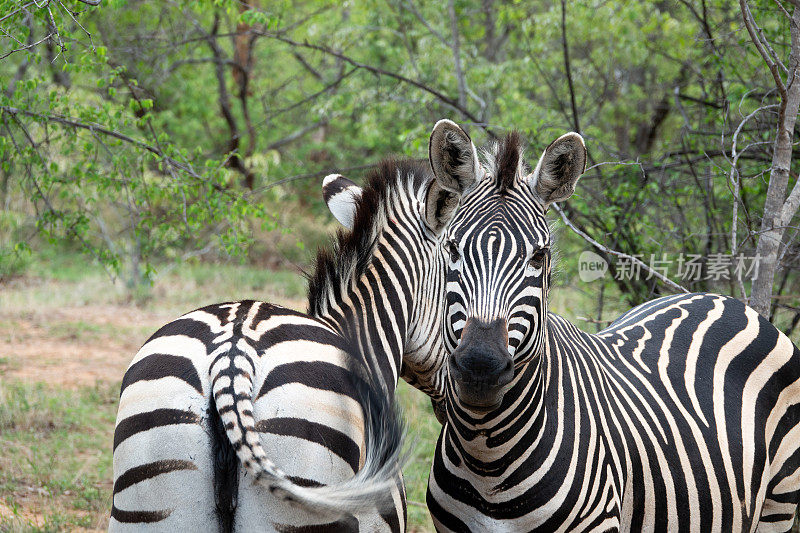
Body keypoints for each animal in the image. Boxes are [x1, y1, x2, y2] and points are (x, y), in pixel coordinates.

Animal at [422, 120, 800, 532]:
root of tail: (724, 301)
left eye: (539, 256)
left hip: (778, 505)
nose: (480, 367)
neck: (486, 459)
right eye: (452, 249)